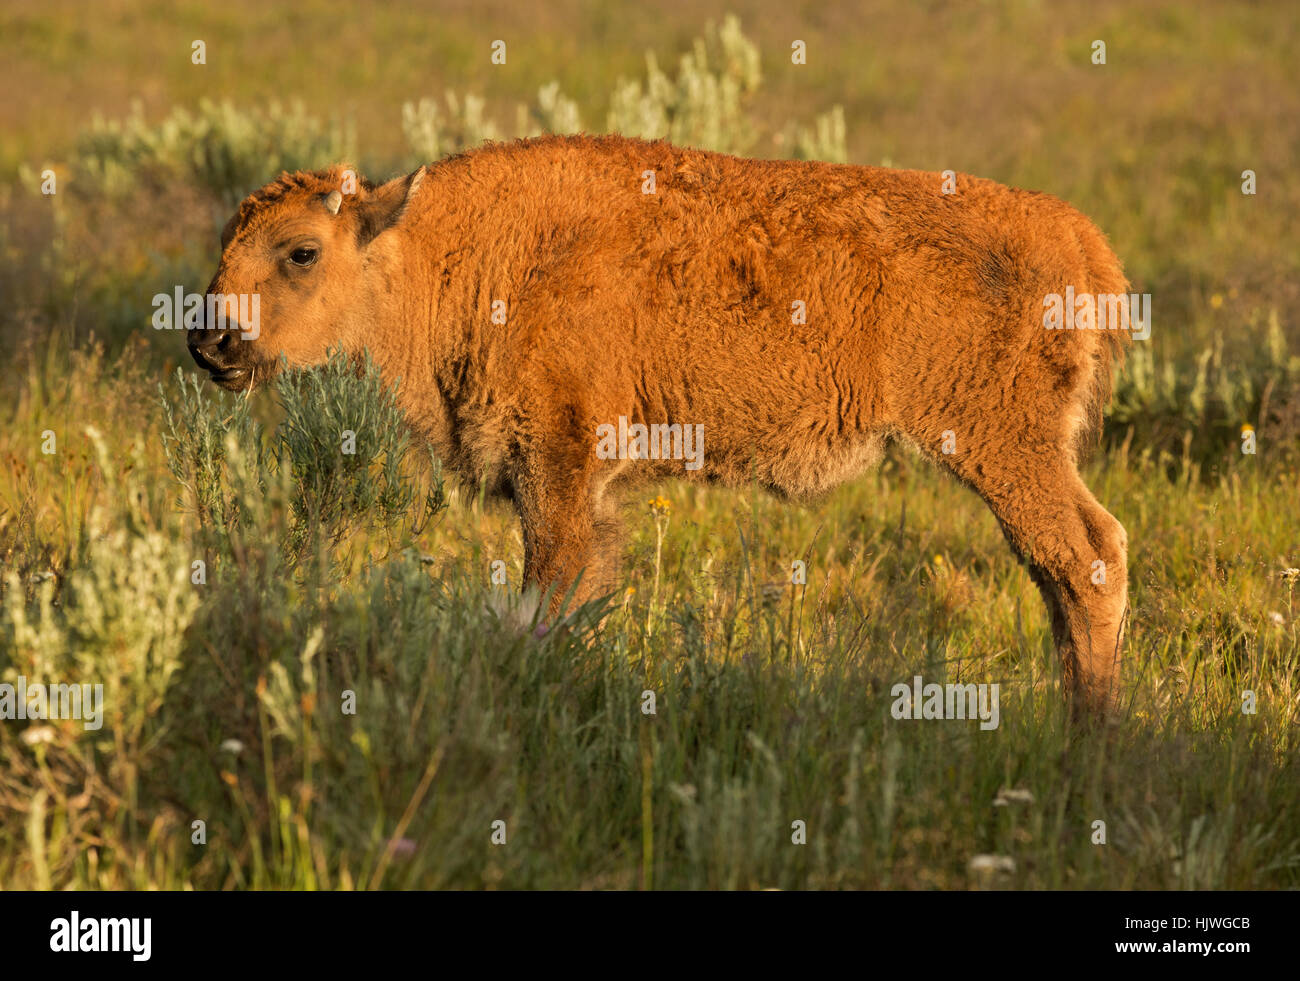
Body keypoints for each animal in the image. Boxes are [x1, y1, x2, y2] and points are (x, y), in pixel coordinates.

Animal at [188, 132, 1133, 712]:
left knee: (1084, 556)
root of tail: (1082, 240)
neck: (445, 252)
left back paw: (1088, 746)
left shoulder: (557, 468)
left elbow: (549, 593)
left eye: (301, 250)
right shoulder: (587, 489)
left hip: (1002, 446)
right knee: (1067, 568)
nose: (210, 342)